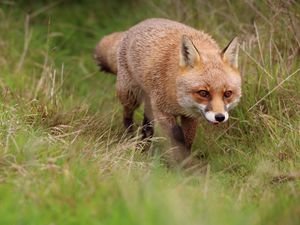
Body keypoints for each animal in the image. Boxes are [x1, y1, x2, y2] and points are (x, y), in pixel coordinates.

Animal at [95, 17, 243, 162]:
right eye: (203, 93)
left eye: (227, 94)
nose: (220, 117)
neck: (177, 97)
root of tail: (138, 24)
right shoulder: (162, 110)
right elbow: (177, 136)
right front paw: (182, 163)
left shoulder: (190, 116)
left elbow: (188, 140)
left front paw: (186, 162)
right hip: (130, 95)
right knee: (127, 116)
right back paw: (131, 138)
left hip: (148, 102)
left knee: (147, 126)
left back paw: (144, 145)